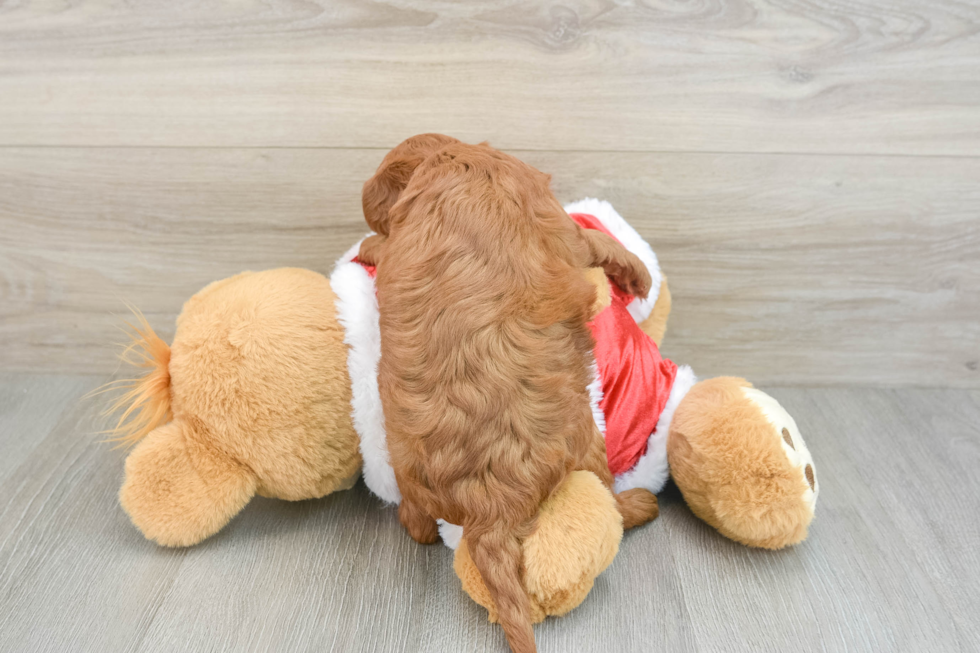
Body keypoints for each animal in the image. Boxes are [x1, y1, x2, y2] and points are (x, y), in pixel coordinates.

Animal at [360, 134, 660, 652]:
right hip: (586, 440)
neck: (452, 159)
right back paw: (641, 505)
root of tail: (490, 512)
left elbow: (380, 243)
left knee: (416, 526)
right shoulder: (560, 225)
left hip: (407, 470)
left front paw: (368, 245)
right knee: (610, 500)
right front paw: (638, 273)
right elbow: (595, 242)